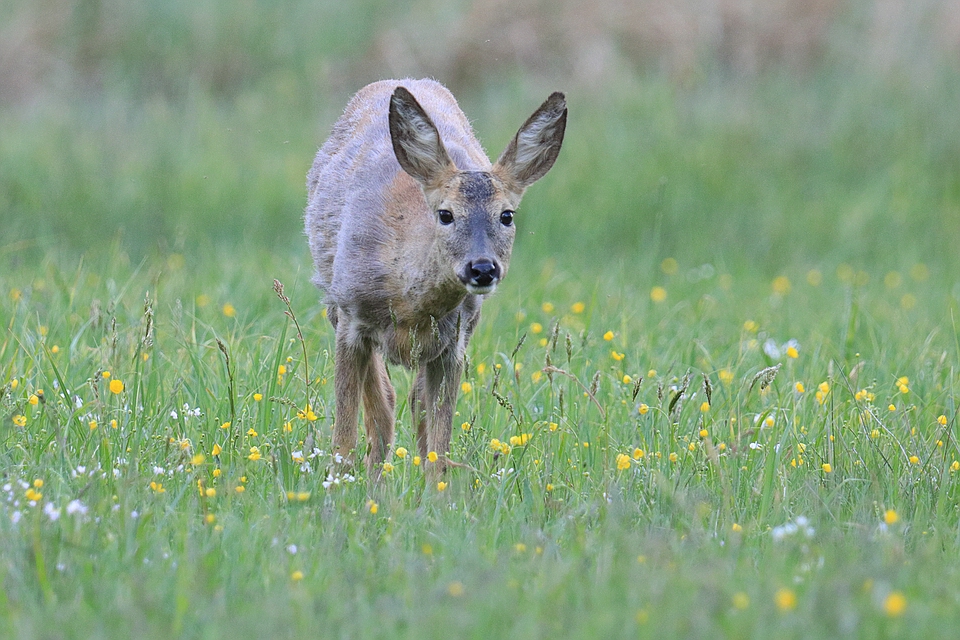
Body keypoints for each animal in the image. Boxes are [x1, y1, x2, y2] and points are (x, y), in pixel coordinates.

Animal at [304, 77, 568, 480]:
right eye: (445, 214)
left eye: (507, 215)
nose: (482, 268)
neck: (408, 305)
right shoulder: (351, 319)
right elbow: (344, 439)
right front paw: (337, 488)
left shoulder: (453, 343)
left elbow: (438, 449)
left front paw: (435, 495)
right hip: (333, 299)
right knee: (383, 410)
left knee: (413, 406)